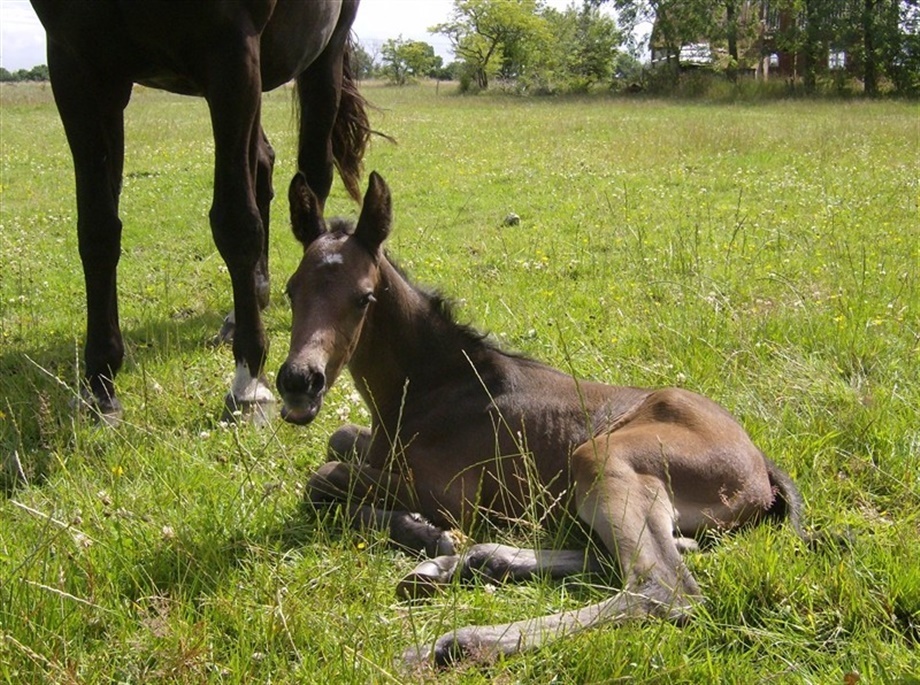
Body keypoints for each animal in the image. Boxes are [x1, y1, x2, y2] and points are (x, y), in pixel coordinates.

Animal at [30, 0, 370, 425]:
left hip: (320, 59)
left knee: (313, 171)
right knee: (262, 163)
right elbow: (97, 230)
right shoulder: (76, 65)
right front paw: (100, 384)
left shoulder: (231, 53)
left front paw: (248, 384)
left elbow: (236, 223)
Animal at [276, 172, 812, 666]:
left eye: (363, 297)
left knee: (663, 590)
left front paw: (428, 532)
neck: (432, 386)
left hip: (603, 457)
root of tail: (762, 467)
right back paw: (467, 564)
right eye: (290, 290)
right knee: (661, 553)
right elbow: (338, 442)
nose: (299, 381)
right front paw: (431, 539)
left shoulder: (450, 494)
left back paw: (455, 639)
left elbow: (325, 476)